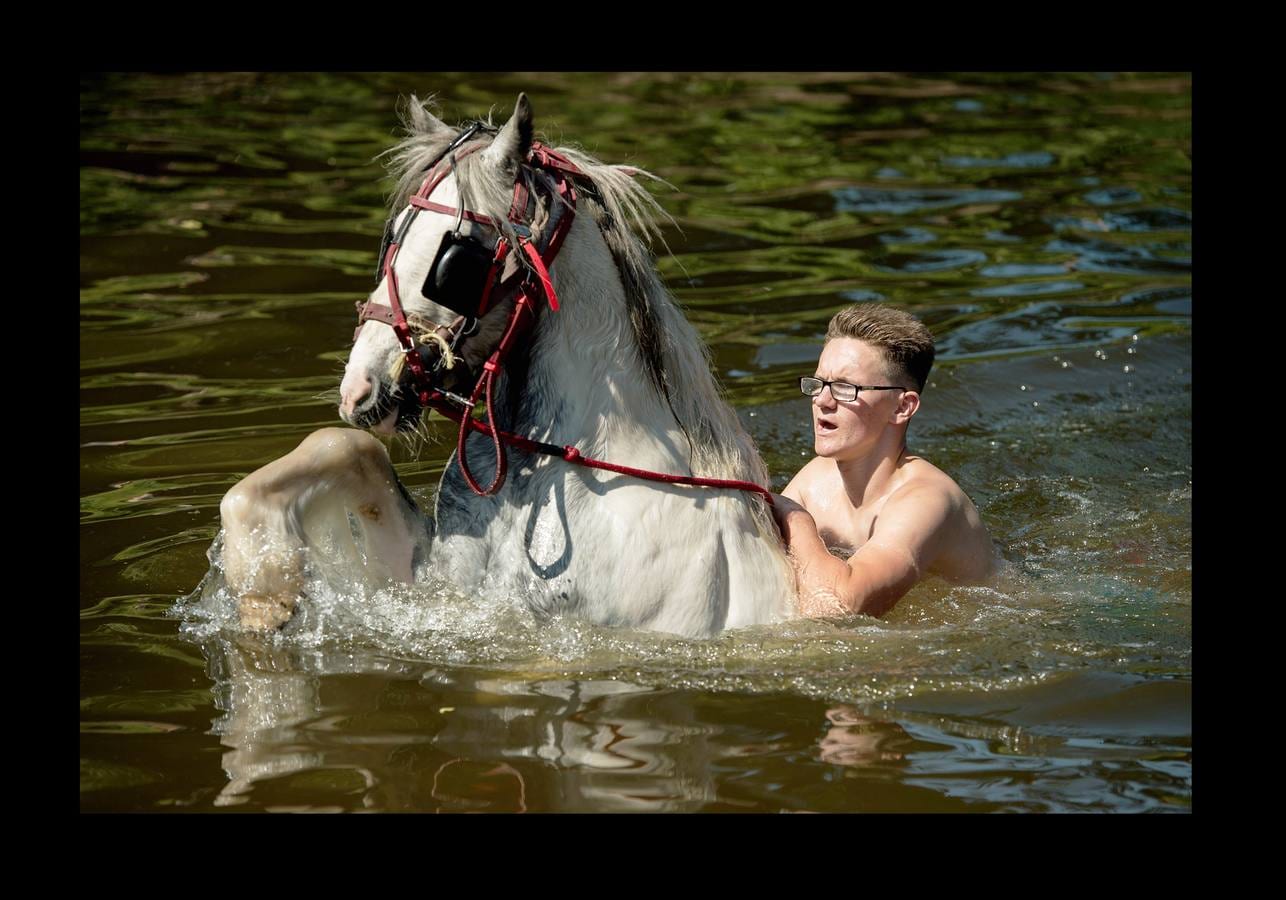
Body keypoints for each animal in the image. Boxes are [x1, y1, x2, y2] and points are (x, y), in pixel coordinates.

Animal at [218, 93, 792, 640]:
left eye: (455, 261)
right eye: (395, 235)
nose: (360, 389)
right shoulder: (437, 584)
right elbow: (344, 448)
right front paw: (265, 592)